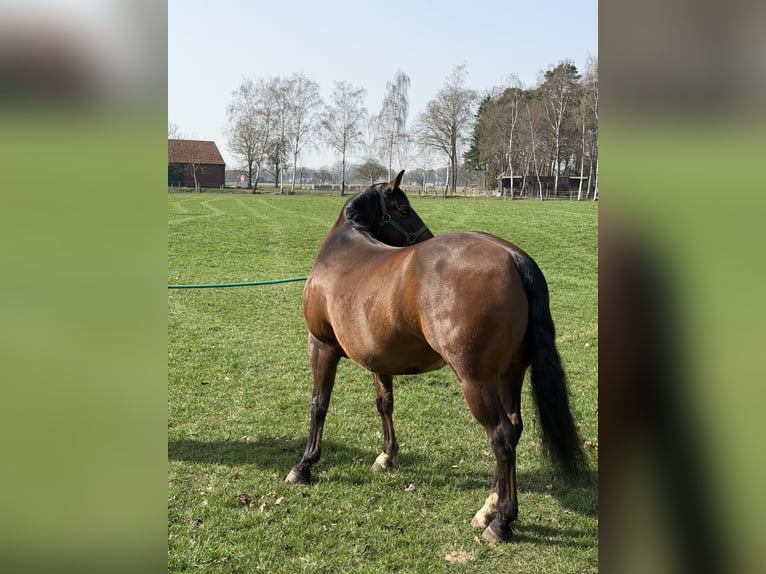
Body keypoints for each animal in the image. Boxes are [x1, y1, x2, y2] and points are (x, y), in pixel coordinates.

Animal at [285, 170, 588, 542]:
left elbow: (319, 404)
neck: (341, 253)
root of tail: (514, 257)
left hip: (475, 380)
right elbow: (384, 403)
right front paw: (386, 456)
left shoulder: (321, 344)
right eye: (402, 210)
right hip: (509, 373)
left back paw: (501, 521)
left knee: (501, 436)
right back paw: (488, 507)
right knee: (514, 429)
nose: (425, 237)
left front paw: (304, 465)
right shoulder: (377, 357)